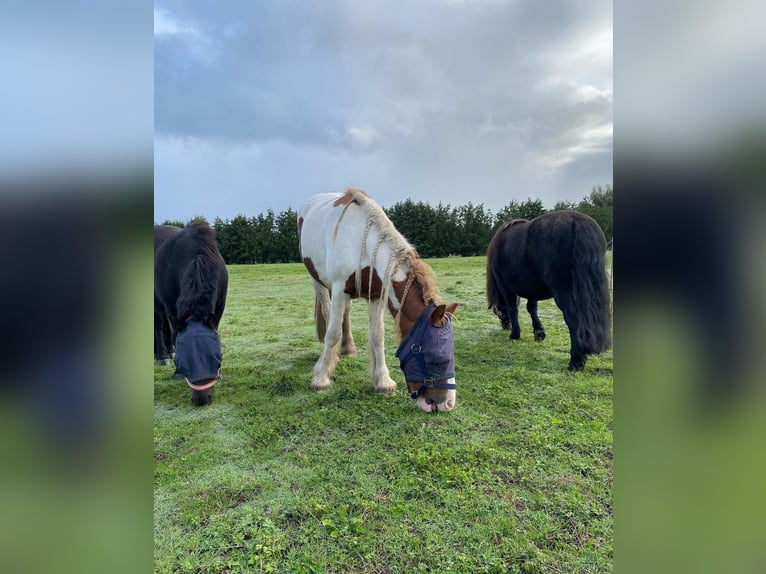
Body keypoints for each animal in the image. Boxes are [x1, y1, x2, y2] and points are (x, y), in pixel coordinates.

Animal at [154, 223, 228, 408]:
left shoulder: (219, 306)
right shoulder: (170, 306)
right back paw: (163, 356)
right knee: (159, 325)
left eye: (218, 358)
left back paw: (170, 351)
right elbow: (175, 335)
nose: (201, 400)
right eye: (183, 363)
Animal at [298, 189, 456, 414]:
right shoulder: (338, 289)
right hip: (318, 282)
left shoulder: (376, 295)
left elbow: (377, 336)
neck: (363, 245)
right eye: (436, 358)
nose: (448, 403)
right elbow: (332, 333)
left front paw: (383, 381)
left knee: (346, 313)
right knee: (329, 315)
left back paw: (349, 348)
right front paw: (321, 379)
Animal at [488, 213, 616, 374]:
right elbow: (532, 308)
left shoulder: (503, 285)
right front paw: (539, 332)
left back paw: (576, 360)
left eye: (500, 314)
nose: (506, 327)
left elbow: (513, 308)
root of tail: (577, 222)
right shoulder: (532, 289)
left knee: (573, 317)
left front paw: (515, 334)